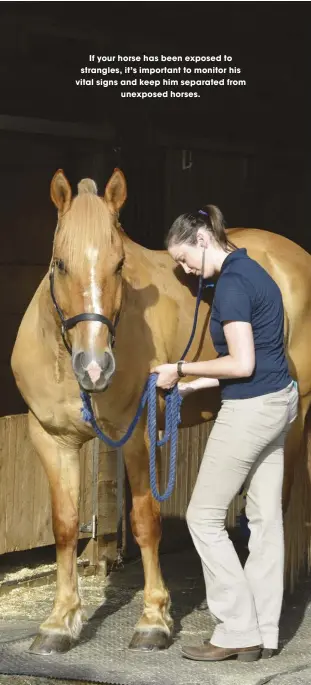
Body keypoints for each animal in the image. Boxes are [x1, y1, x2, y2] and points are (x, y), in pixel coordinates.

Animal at [11, 168, 311, 656]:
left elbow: (145, 521)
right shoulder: (53, 440)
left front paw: (153, 620)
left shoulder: (137, 435)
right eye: (59, 264)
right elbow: (65, 525)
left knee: (279, 507)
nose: (94, 367)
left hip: (297, 415)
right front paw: (59, 623)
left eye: (119, 265)